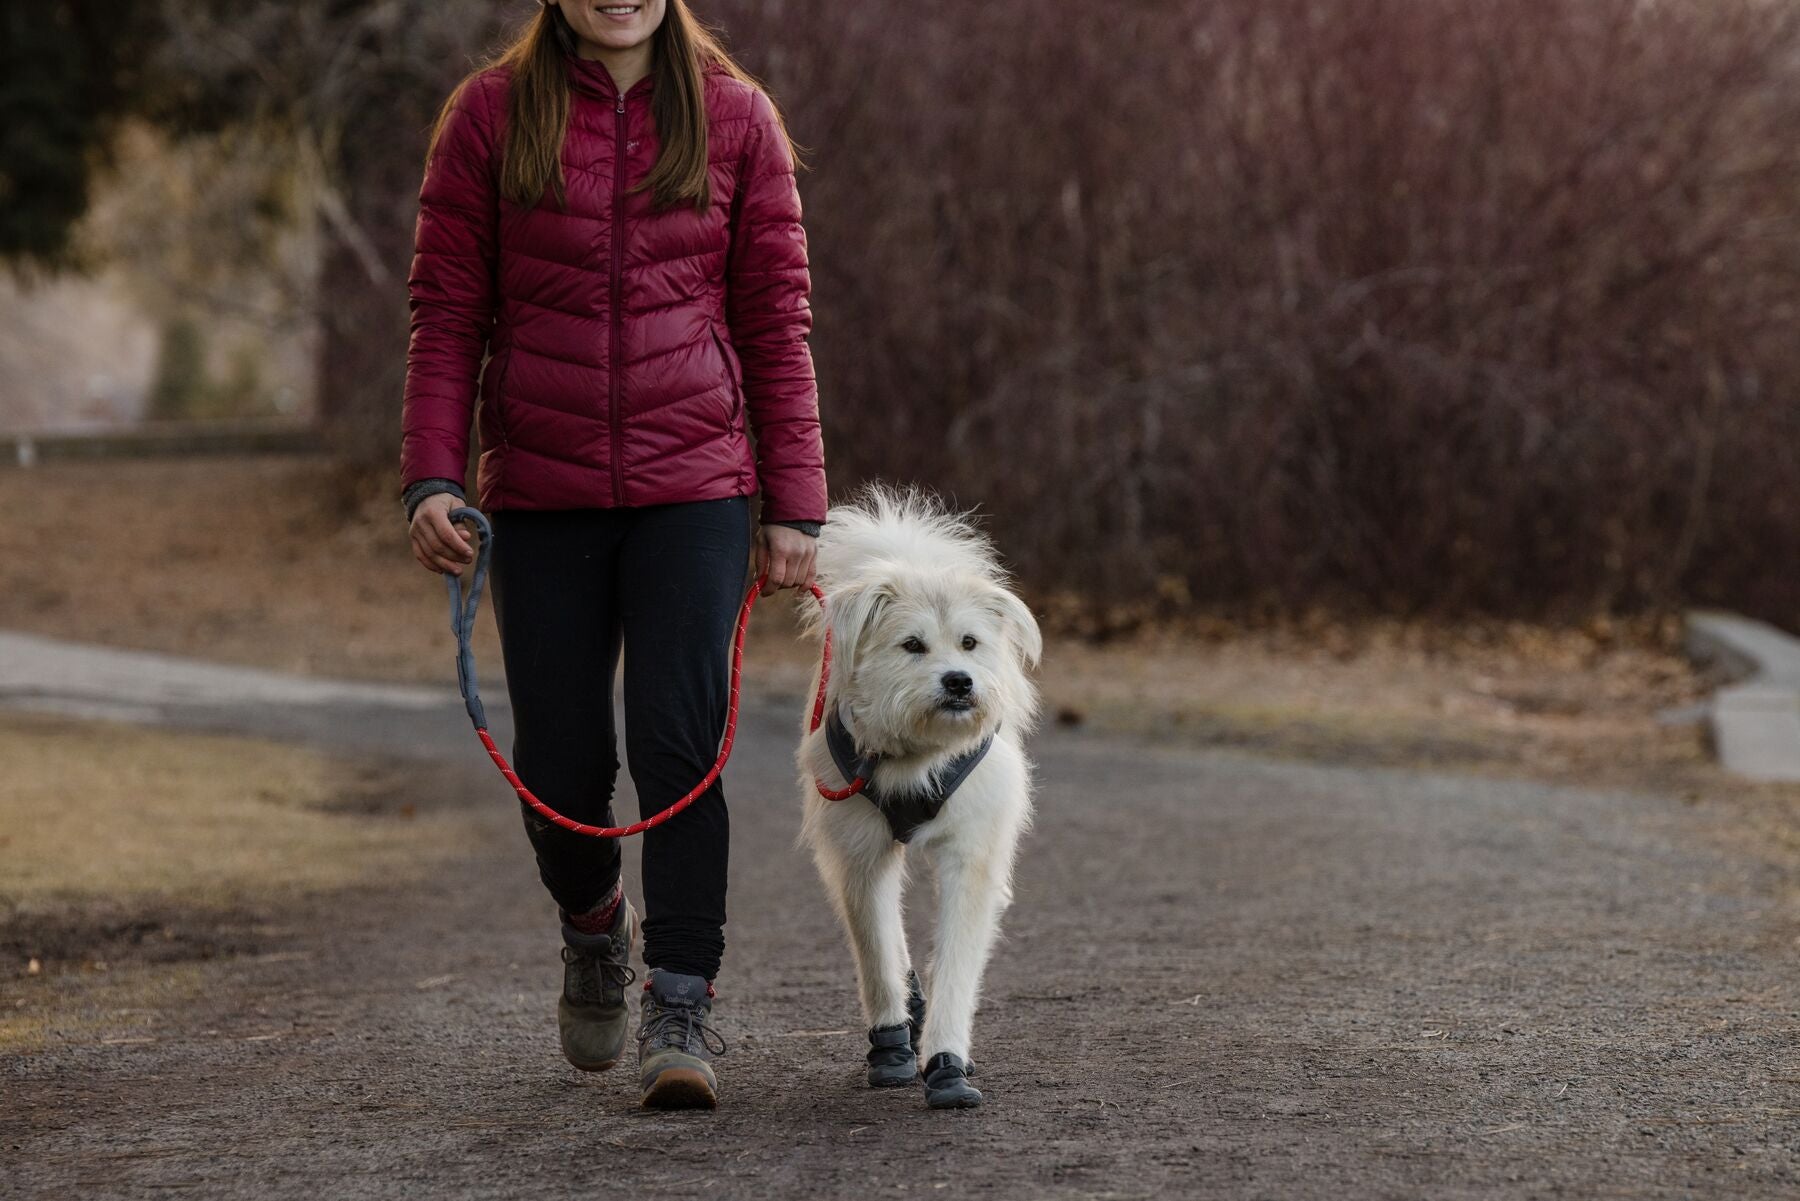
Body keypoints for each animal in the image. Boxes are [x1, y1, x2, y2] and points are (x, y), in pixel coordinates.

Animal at [796, 486, 1041, 1109]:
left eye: (970, 643)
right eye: (912, 645)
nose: (959, 681)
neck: (917, 754)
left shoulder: (970, 856)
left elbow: (956, 964)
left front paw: (947, 1061)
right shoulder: (860, 856)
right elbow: (878, 953)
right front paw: (892, 1047)